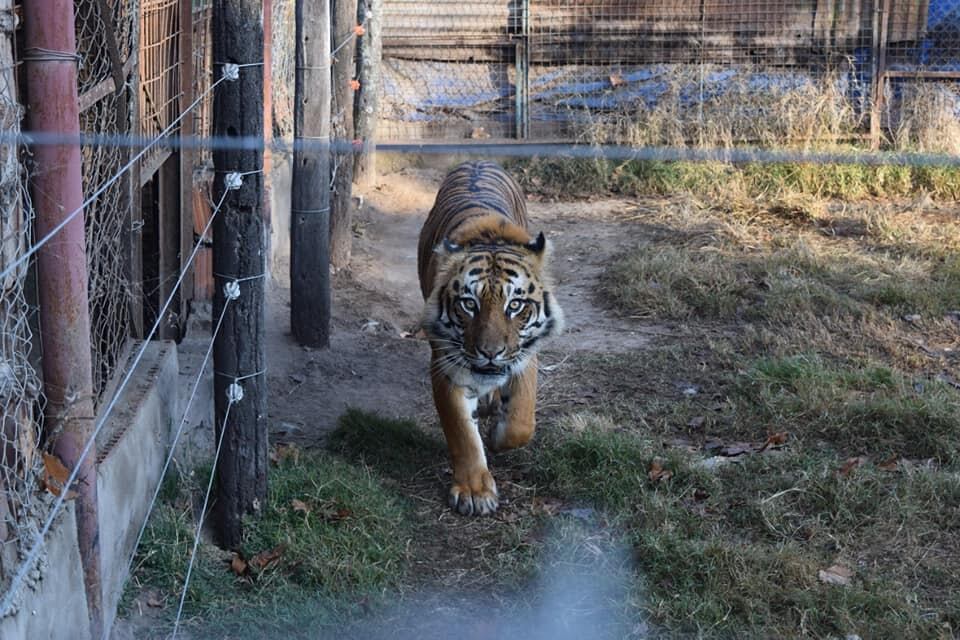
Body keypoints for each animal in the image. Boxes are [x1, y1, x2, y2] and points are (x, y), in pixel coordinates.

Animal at [418, 160, 564, 516]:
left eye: (515, 305)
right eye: (469, 304)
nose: (490, 352)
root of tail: (477, 161)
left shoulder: (525, 354)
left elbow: (521, 422)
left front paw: (499, 435)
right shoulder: (446, 365)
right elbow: (461, 432)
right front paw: (474, 492)